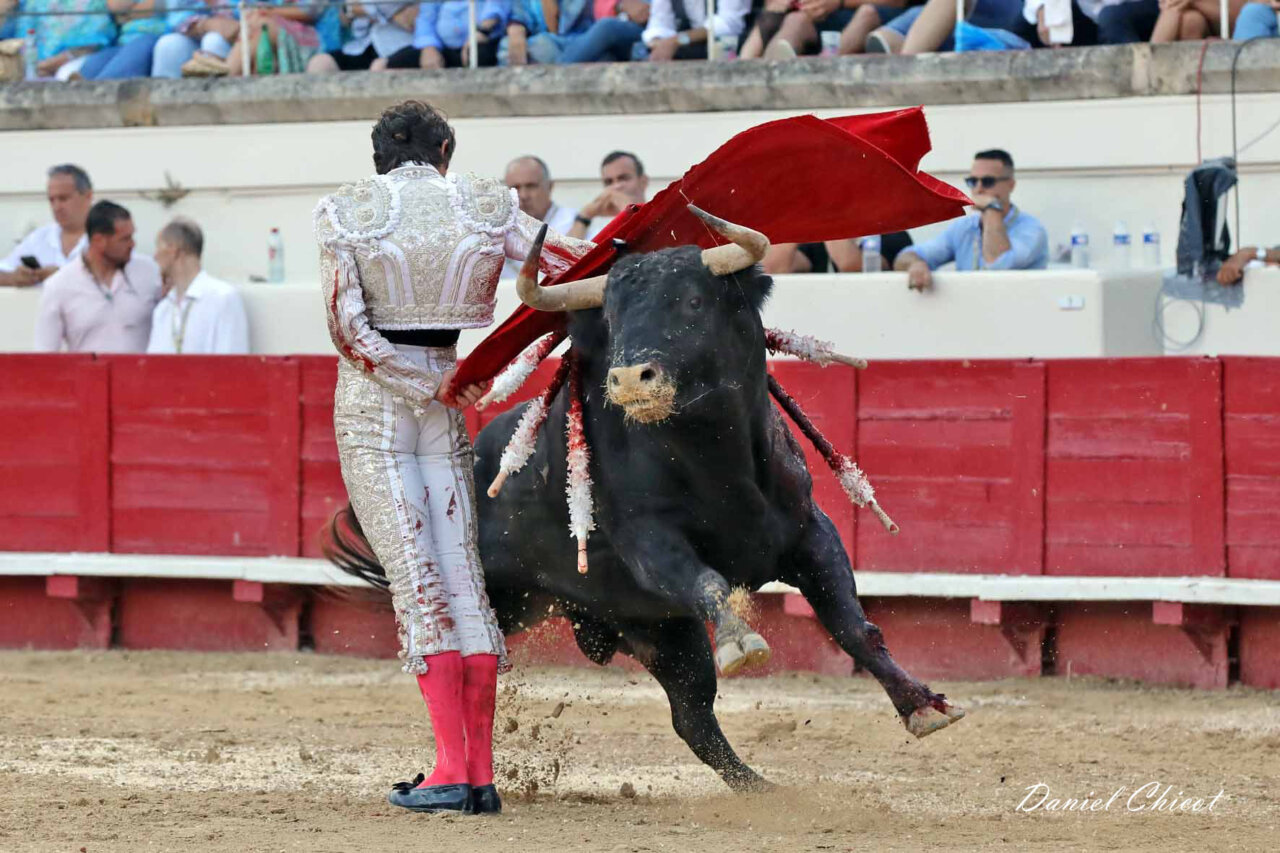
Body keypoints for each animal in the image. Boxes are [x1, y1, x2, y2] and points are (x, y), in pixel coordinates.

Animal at [328, 207, 965, 791]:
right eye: (612, 315)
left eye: (693, 301)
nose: (632, 379)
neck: (715, 457)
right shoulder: (651, 546)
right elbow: (709, 583)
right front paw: (742, 641)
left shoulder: (812, 534)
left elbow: (855, 628)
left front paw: (923, 707)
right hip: (510, 595)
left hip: (657, 628)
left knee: (692, 714)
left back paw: (760, 789)